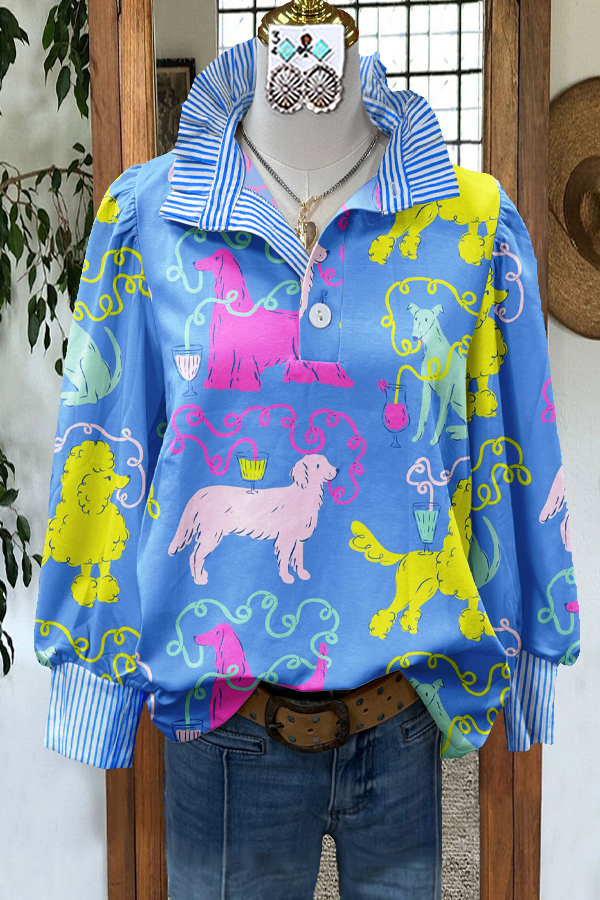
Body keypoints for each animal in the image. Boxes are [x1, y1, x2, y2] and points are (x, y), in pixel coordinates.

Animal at [169, 454, 338, 584]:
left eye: (327, 461)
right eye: (318, 465)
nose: (337, 470)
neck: (305, 495)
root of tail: (201, 493)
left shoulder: (298, 539)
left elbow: (298, 559)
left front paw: (302, 574)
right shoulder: (285, 538)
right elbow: (284, 560)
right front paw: (286, 577)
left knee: (193, 555)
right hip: (211, 534)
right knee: (197, 555)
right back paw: (199, 579)